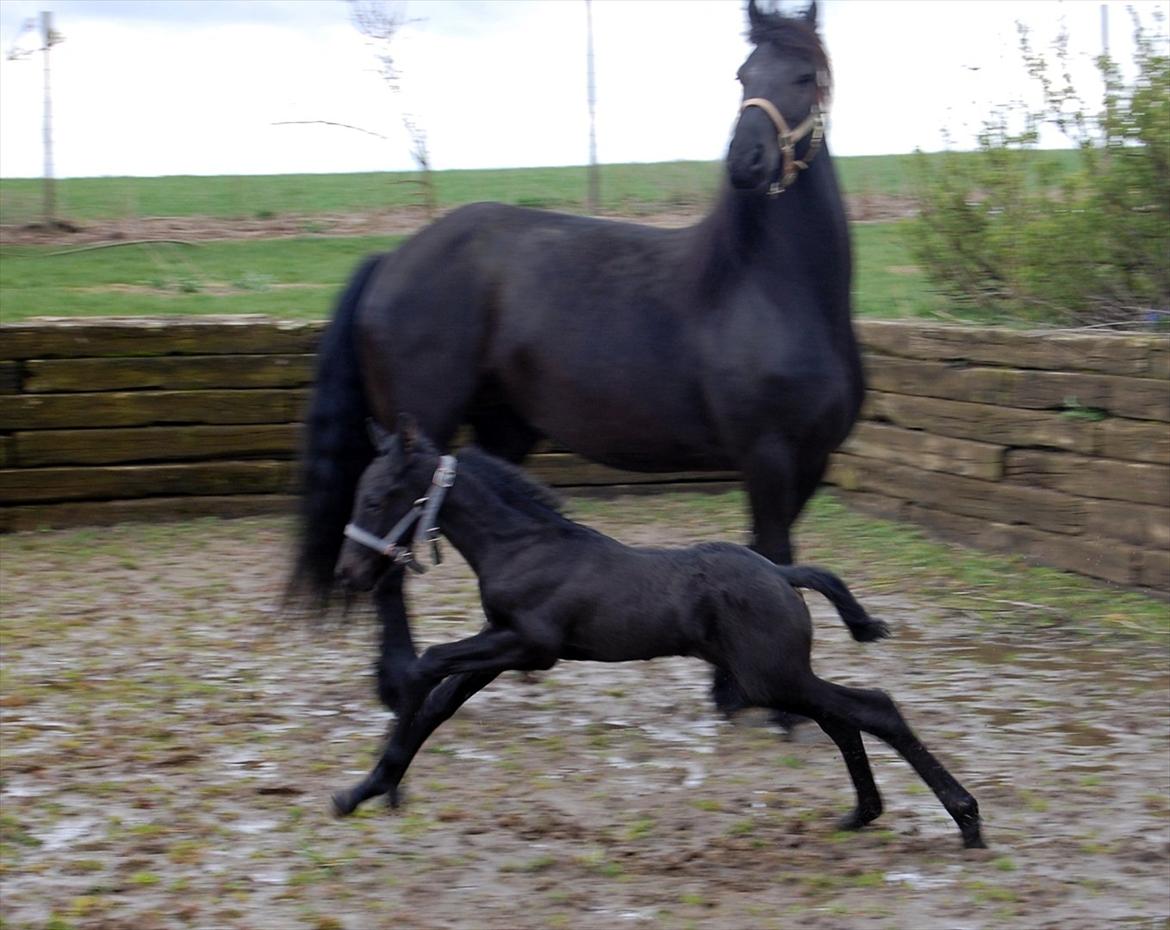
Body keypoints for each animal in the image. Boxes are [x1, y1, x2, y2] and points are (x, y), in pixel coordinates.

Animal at [332, 421, 987, 851]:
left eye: (376, 497)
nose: (348, 573)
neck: (524, 545)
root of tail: (782, 573)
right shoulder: (503, 641)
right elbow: (441, 701)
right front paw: (369, 789)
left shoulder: (531, 646)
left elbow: (426, 667)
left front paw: (381, 780)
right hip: (778, 677)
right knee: (843, 719)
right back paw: (863, 814)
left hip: (768, 676)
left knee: (873, 708)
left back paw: (966, 820)